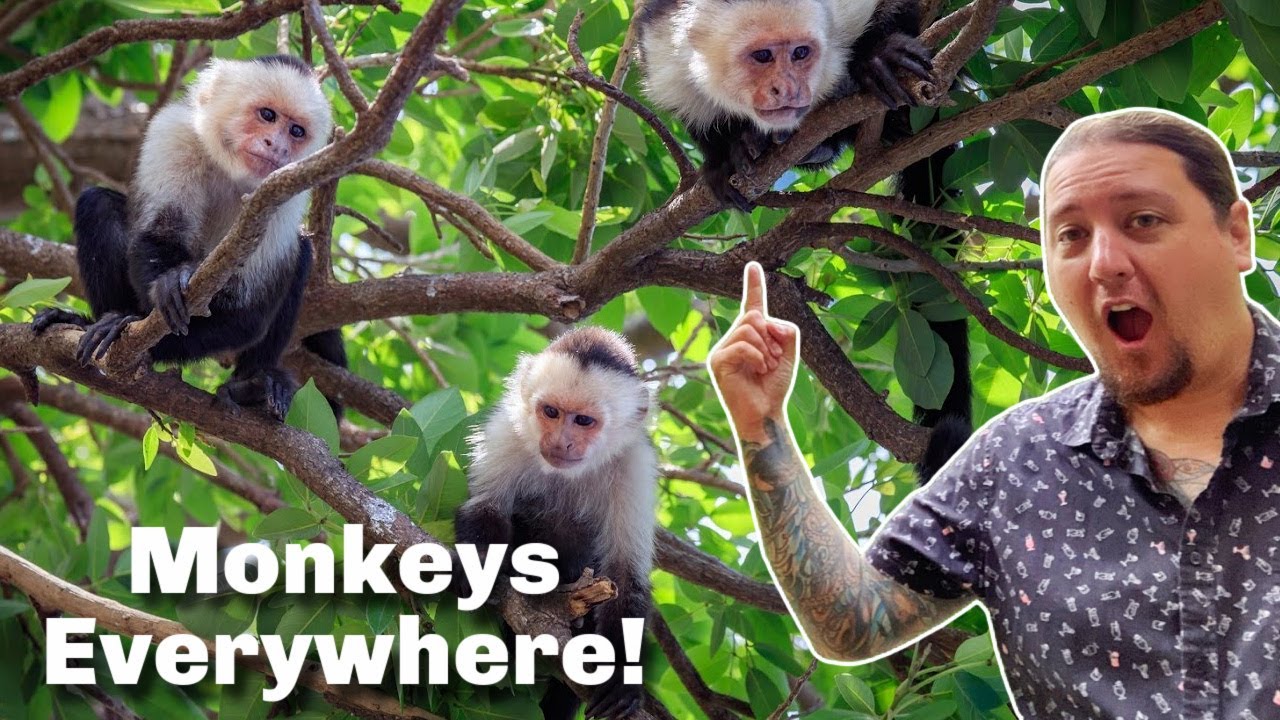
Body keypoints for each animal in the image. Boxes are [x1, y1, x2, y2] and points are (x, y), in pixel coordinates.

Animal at [32, 55, 347, 420]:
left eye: (297, 131)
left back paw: (254, 385)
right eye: (268, 115)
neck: (232, 170)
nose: (278, 146)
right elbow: (159, 233)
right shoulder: (174, 133)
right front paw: (165, 285)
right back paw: (96, 320)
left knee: (300, 256)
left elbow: (248, 315)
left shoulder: (287, 190)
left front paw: (142, 338)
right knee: (98, 203)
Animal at [453, 327, 656, 720]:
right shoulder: (507, 434)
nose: (562, 442)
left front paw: (621, 677)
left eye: (583, 421)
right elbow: (487, 509)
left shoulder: (634, 466)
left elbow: (624, 574)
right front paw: (481, 569)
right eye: (551, 412)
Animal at [636, 0, 935, 210]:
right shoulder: (663, 46)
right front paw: (724, 159)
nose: (788, 88)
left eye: (800, 52)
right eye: (762, 56)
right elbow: (693, 109)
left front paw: (877, 55)